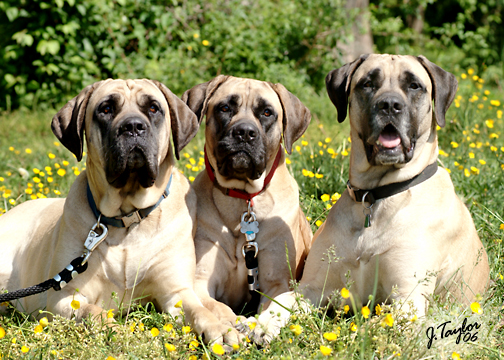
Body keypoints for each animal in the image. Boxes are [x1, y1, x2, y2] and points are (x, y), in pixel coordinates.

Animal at [0, 80, 242, 344]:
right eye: (106, 109)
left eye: (154, 108)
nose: (133, 126)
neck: (128, 218)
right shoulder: (64, 298)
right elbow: (94, 312)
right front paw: (116, 330)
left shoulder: (176, 291)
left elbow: (199, 310)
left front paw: (221, 331)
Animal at [182, 75, 316, 326]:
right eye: (224, 108)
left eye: (266, 112)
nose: (244, 132)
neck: (242, 197)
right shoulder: (201, 281)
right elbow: (219, 309)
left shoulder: (275, 283)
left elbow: (273, 307)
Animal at [247, 54, 488, 344]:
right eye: (368, 83)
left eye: (414, 85)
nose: (389, 105)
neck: (377, 196)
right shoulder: (315, 286)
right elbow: (284, 299)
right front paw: (262, 322)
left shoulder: (407, 300)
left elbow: (374, 325)